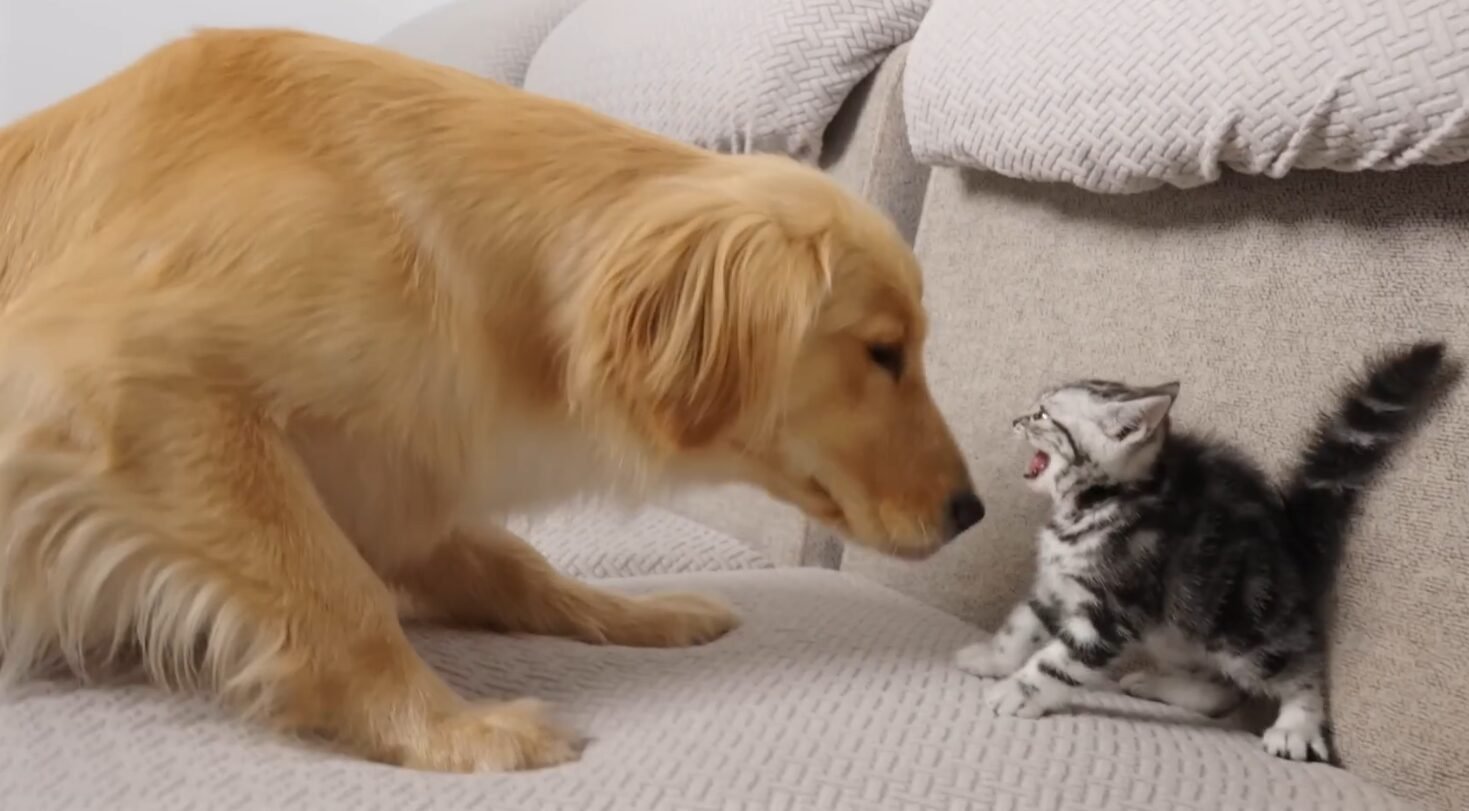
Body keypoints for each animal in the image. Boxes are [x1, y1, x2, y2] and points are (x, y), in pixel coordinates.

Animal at [957, 340, 1451, 758]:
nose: (1016, 419)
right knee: (1224, 688)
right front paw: (992, 658)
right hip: (1183, 626)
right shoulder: (1056, 586)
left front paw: (1018, 691)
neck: (1096, 505)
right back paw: (1160, 686)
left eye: (1044, 416)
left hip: (1243, 621)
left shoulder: (1115, 607)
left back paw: (1297, 725)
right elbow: (1022, 626)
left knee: (1299, 662)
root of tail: (1292, 538)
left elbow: (1058, 661)